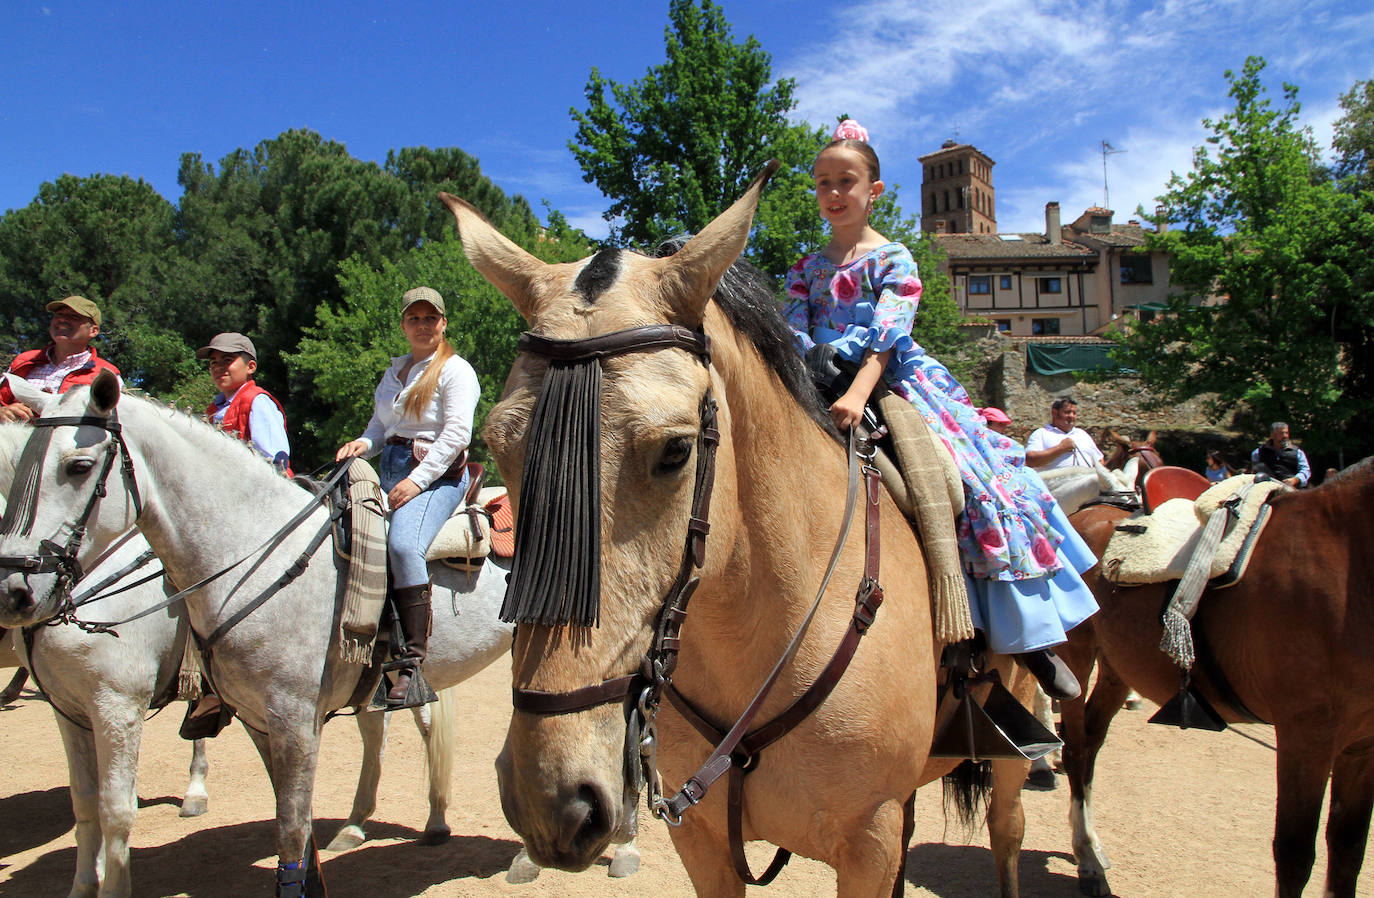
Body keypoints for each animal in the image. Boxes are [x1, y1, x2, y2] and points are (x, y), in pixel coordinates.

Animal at [439, 170, 1038, 898]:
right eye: (500, 448)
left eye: (674, 451)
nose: (551, 800)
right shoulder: (702, 842)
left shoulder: (867, 841)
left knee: (1009, 832)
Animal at [1055, 461, 1368, 895]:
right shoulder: (1305, 738)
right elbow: (1294, 854)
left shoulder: (1362, 748)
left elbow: (1348, 850)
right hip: (1078, 656)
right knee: (1075, 749)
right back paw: (1087, 858)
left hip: (1118, 667)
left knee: (1091, 741)